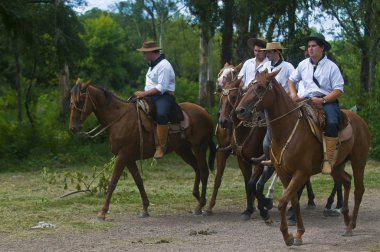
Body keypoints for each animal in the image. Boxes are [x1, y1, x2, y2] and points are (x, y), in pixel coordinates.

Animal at [69, 79, 215, 220]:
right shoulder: (128, 158)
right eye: (71, 101)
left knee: (204, 172)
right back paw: (198, 198)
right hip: (183, 150)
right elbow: (138, 181)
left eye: (80, 101)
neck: (118, 119)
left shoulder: (122, 156)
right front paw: (145, 208)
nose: (73, 128)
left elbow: (113, 182)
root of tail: (205, 112)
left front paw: (102, 212)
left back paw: (200, 205)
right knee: (197, 169)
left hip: (199, 147)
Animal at [236, 69, 370, 246]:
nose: (240, 110)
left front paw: (287, 236)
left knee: (359, 189)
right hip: (336, 166)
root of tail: (360, 121)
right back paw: (346, 220)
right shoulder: (284, 173)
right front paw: (299, 233)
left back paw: (351, 224)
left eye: (260, 87)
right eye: (249, 85)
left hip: (358, 161)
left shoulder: (301, 173)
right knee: (347, 180)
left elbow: (283, 202)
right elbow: (294, 202)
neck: (286, 131)